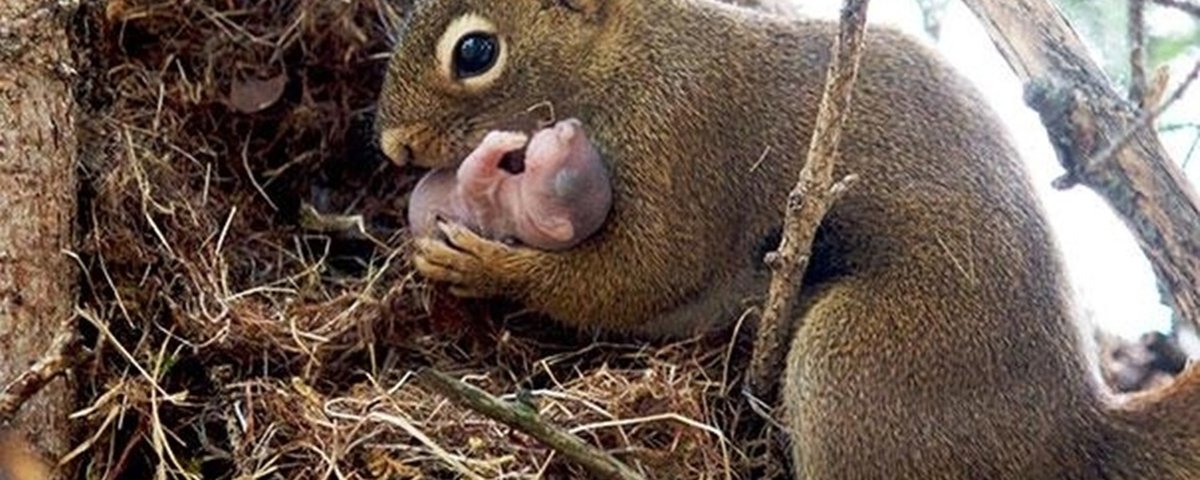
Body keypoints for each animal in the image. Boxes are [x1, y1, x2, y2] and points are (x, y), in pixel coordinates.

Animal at [376, 0, 1200, 477]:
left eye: (475, 52)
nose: (392, 146)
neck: (631, 52)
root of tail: (1071, 438)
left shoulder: (686, 134)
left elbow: (643, 274)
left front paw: (484, 263)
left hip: (856, 364)